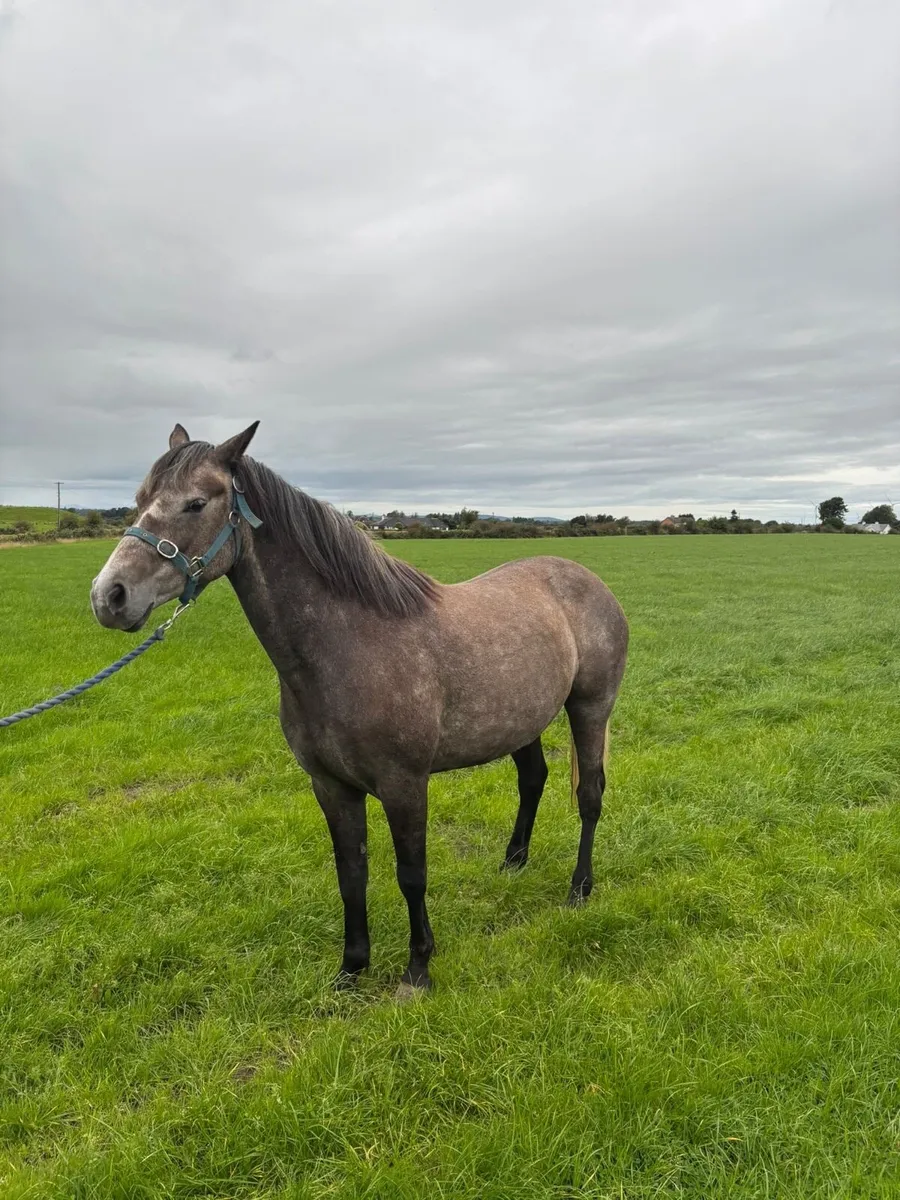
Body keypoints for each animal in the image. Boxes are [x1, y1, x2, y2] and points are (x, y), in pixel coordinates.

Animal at [91, 423, 629, 995]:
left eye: (196, 503)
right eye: (140, 498)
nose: (109, 596)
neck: (349, 644)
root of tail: (587, 579)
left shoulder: (404, 785)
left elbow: (411, 875)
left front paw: (417, 970)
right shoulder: (331, 786)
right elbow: (351, 874)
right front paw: (351, 968)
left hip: (590, 708)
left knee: (589, 795)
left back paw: (579, 889)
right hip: (518, 722)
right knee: (533, 779)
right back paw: (513, 863)